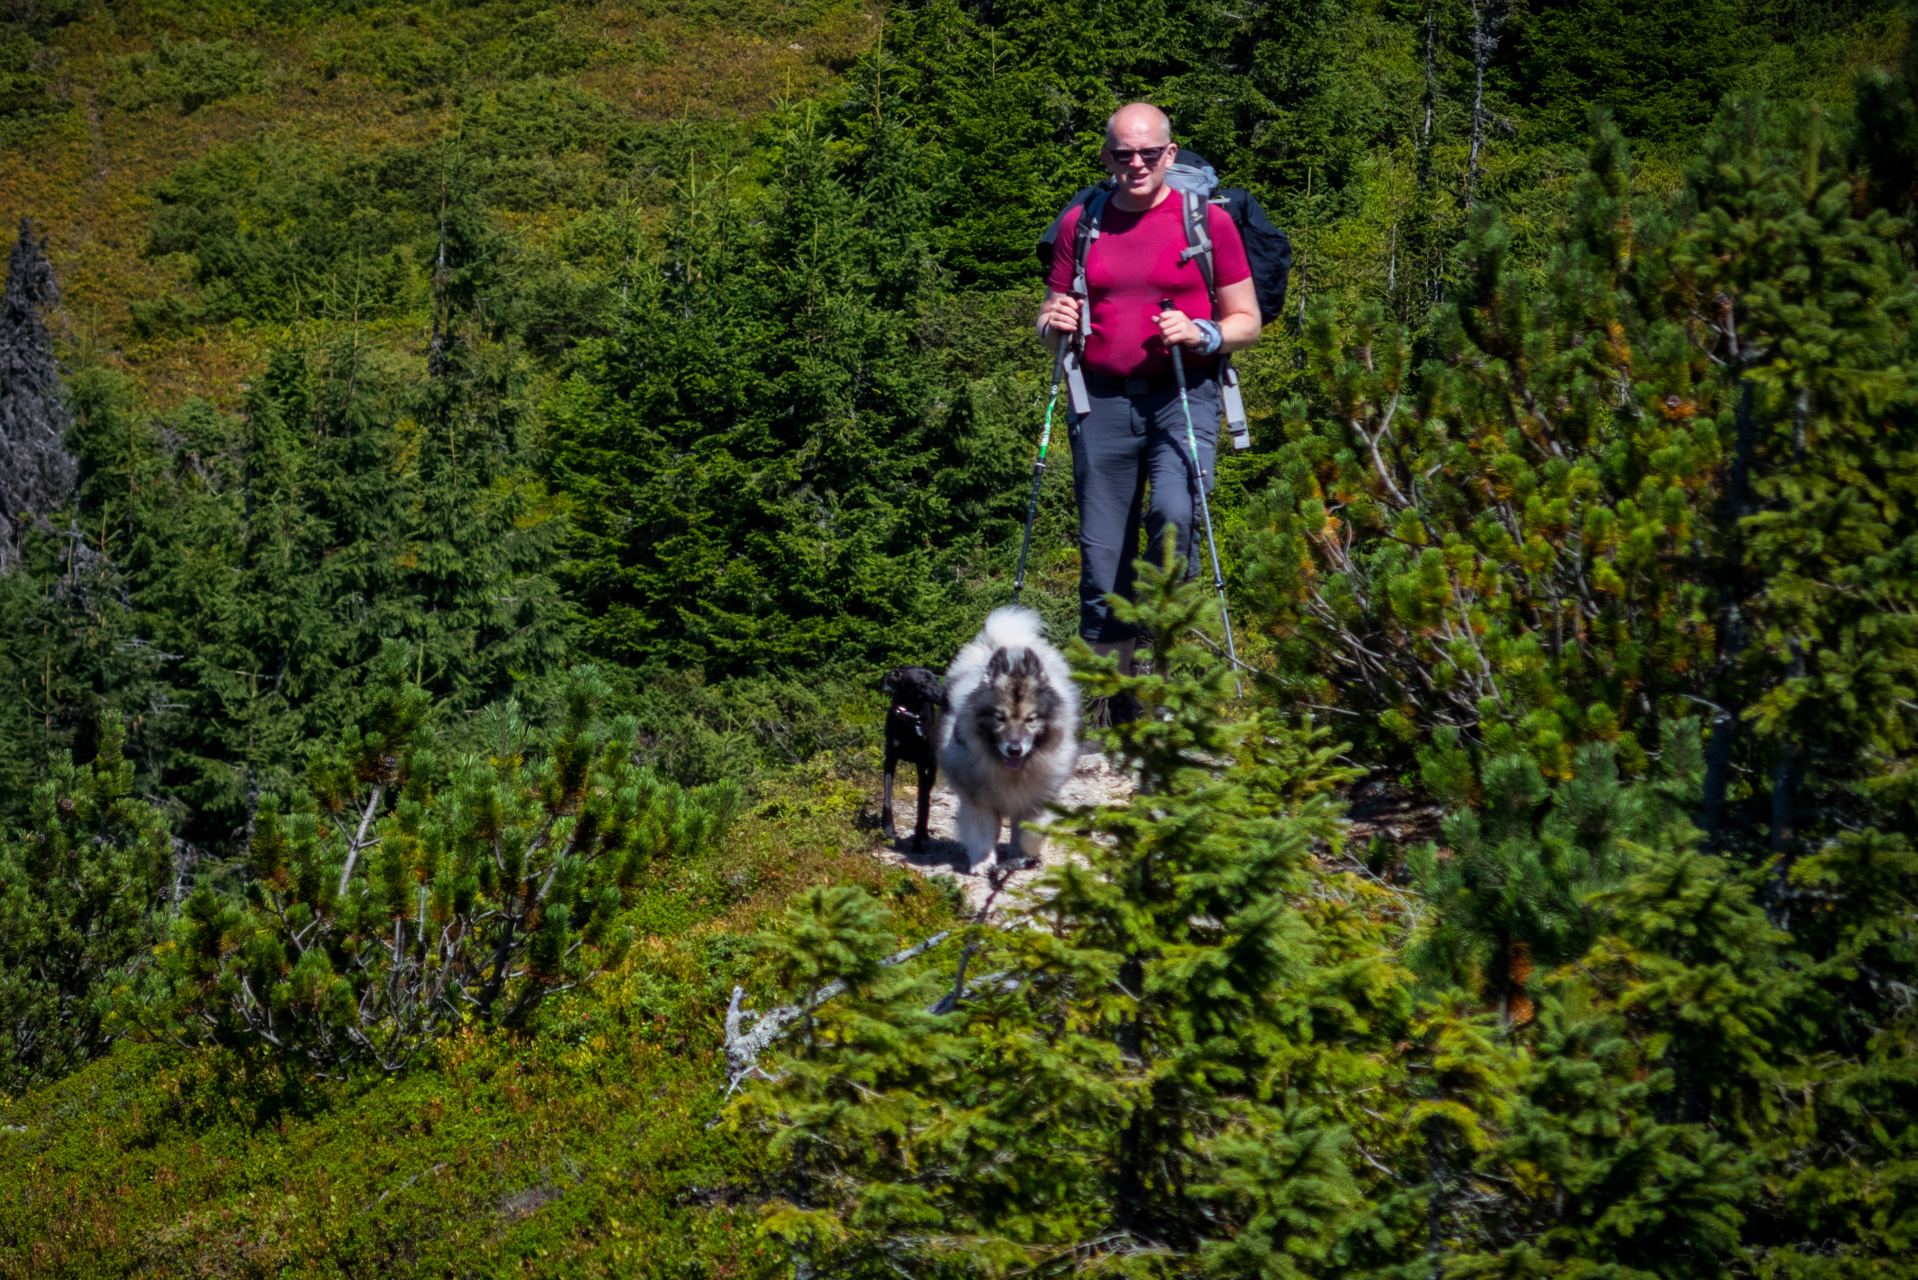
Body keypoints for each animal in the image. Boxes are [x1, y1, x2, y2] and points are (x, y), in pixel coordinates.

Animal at [878, 667, 947, 855]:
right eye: (923, 682)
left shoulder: (922, 766)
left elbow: (921, 806)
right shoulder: (890, 762)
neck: (909, 720)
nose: (947, 696)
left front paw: (918, 841)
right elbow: (887, 799)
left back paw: (923, 833)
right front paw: (888, 828)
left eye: (936, 678)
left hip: (932, 767)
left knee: (927, 798)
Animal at [939, 606, 1089, 875]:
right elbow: (982, 834)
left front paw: (1023, 858)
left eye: (1030, 719)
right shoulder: (980, 802)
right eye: (1000, 718)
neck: (1012, 773)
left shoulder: (1036, 801)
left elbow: (1030, 834)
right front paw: (983, 862)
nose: (1015, 749)